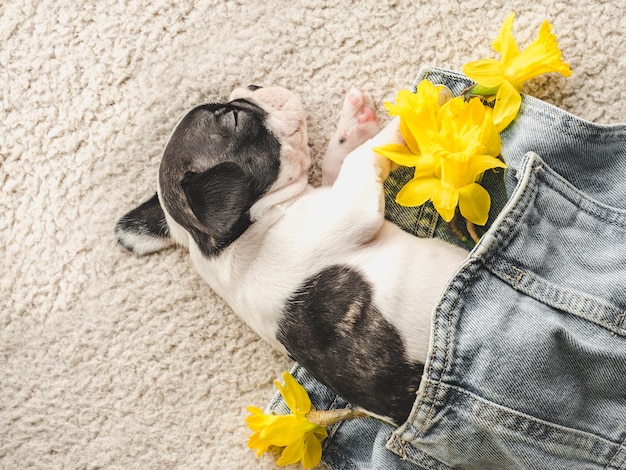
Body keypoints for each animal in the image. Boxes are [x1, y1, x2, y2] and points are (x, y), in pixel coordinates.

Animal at [114, 85, 466, 426]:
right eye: (234, 118)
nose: (253, 85)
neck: (230, 240)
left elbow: (337, 163)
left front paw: (354, 122)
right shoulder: (346, 210)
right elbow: (358, 159)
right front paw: (416, 111)